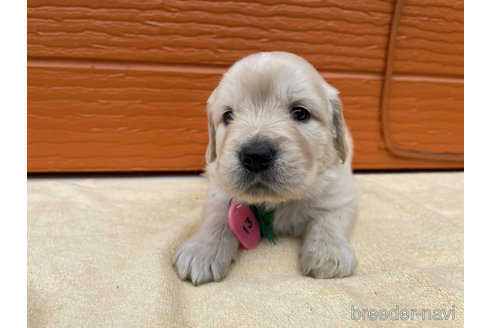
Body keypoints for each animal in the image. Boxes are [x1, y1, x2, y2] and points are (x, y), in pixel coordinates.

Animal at [173, 51, 358, 284]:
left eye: (300, 112)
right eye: (228, 115)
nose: (255, 156)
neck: (276, 202)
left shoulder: (340, 190)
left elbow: (330, 219)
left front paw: (329, 253)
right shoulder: (219, 188)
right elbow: (216, 216)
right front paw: (202, 250)